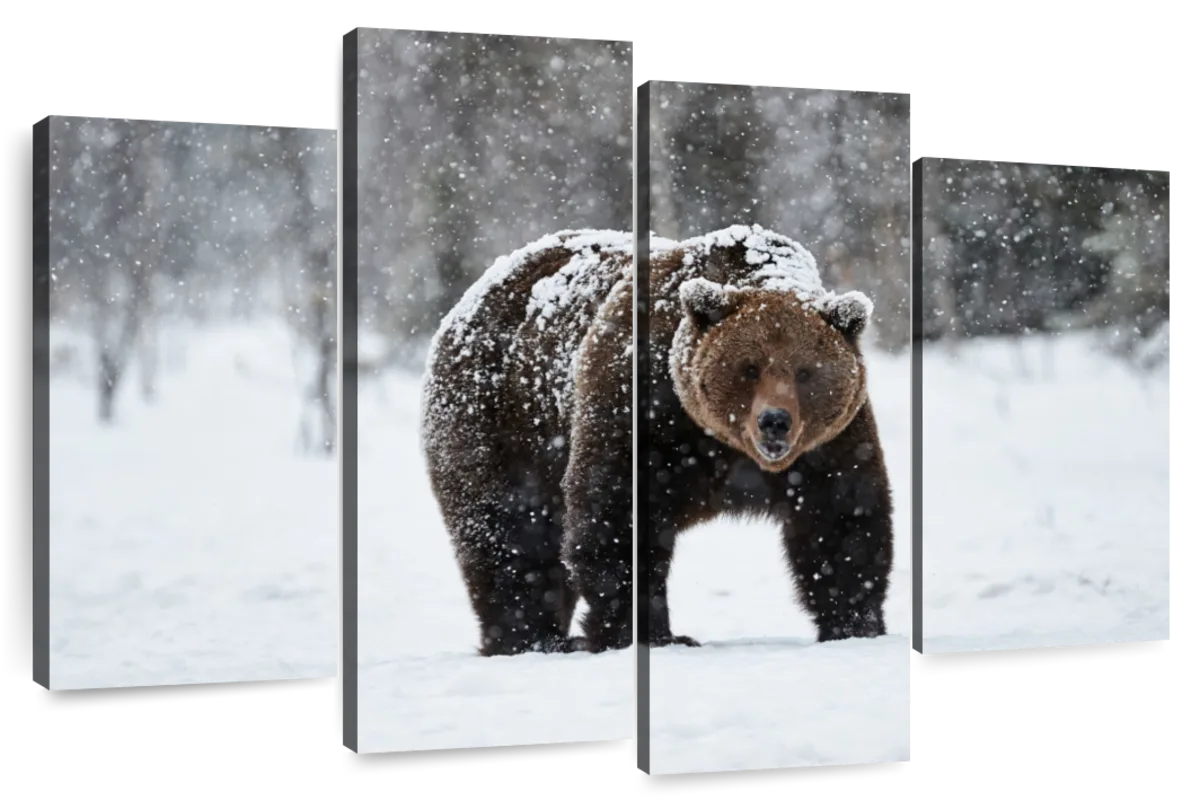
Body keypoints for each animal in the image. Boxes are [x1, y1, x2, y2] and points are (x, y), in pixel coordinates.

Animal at [645, 223, 893, 646]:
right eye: (749, 368)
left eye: (805, 372)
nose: (774, 420)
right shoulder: (653, 417)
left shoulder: (831, 444)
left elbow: (843, 525)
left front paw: (853, 626)